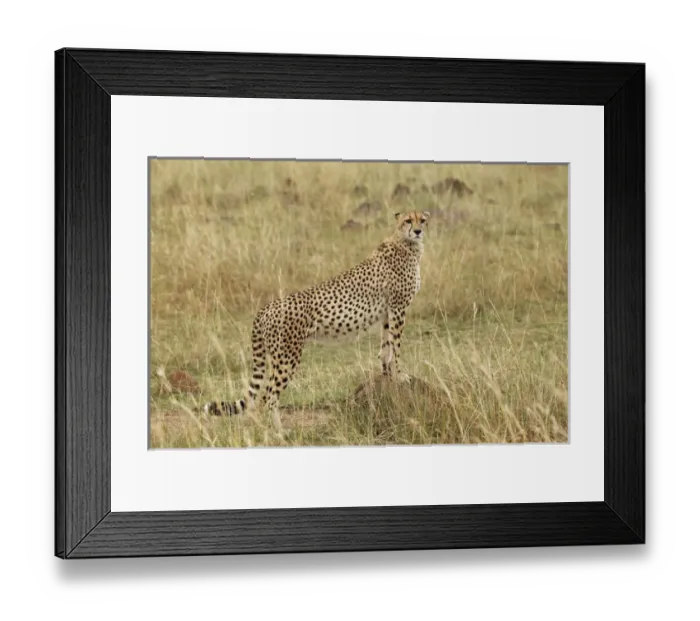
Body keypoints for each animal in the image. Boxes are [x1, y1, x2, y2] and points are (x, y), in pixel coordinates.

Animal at [202, 210, 430, 416]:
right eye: (408, 220)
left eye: (422, 220)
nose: (418, 231)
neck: (406, 243)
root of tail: (265, 308)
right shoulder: (398, 308)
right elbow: (396, 346)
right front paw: (400, 375)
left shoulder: (388, 312)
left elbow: (386, 347)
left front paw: (387, 374)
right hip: (286, 357)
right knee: (268, 399)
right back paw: (279, 433)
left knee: (264, 398)